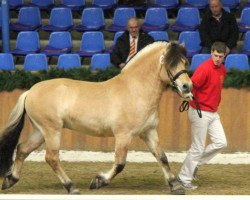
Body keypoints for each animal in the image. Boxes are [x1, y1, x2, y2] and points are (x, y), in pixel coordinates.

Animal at [0, 41, 192, 194]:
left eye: (184, 62)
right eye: (169, 64)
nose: (187, 87)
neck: (135, 90)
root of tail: (30, 91)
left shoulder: (149, 132)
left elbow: (162, 157)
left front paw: (175, 186)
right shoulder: (123, 135)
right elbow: (120, 163)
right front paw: (98, 182)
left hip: (40, 131)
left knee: (23, 149)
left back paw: (10, 180)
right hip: (51, 130)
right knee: (51, 157)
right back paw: (71, 187)